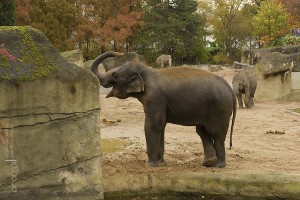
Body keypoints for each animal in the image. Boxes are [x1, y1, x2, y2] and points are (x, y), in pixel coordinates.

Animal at [91, 51, 237, 167]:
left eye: (115, 75)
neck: (148, 72)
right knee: (202, 131)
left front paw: (151, 165)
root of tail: (229, 87)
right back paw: (208, 163)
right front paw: (161, 164)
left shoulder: (155, 98)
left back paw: (219, 165)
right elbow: (161, 126)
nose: (119, 53)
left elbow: (153, 125)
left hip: (220, 108)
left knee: (216, 133)